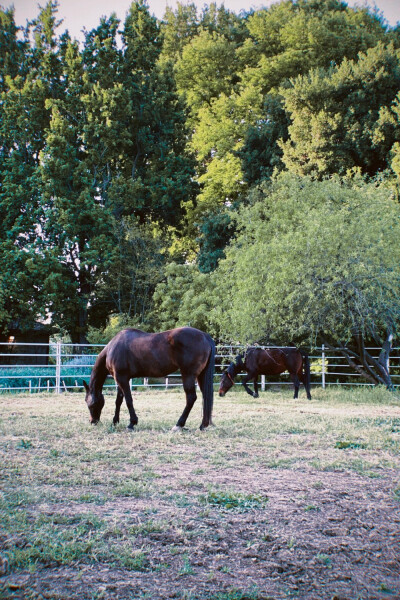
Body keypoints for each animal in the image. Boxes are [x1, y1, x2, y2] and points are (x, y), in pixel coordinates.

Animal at [83, 328, 216, 432]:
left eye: (90, 403)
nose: (92, 421)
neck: (113, 348)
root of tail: (205, 336)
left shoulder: (121, 379)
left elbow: (128, 400)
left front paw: (131, 423)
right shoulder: (121, 379)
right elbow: (118, 401)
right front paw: (115, 421)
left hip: (188, 375)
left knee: (191, 398)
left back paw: (179, 425)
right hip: (200, 376)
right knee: (205, 396)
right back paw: (203, 425)